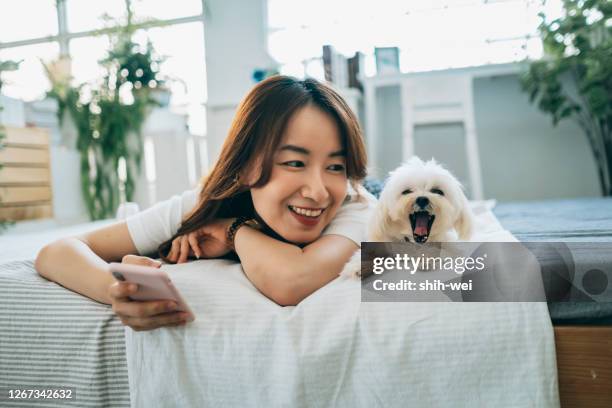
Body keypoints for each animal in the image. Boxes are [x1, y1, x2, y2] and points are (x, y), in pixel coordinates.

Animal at [340, 156, 474, 278]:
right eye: (406, 192)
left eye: (437, 191)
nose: (422, 199)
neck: (413, 243)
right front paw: (358, 265)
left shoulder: (448, 246)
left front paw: (426, 258)